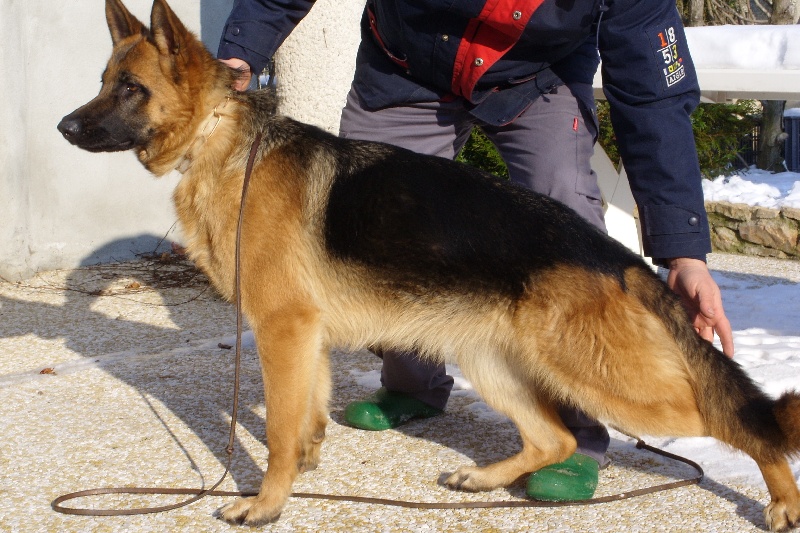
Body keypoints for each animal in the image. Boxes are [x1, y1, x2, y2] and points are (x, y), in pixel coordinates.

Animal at [57, 0, 800, 528]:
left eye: (131, 89)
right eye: (104, 83)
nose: (64, 128)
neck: (223, 140)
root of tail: (621, 259)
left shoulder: (282, 331)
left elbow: (276, 430)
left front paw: (266, 503)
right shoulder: (304, 338)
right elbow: (305, 420)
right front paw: (303, 470)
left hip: (612, 382)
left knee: (742, 420)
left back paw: (782, 497)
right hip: (493, 361)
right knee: (554, 438)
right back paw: (487, 477)